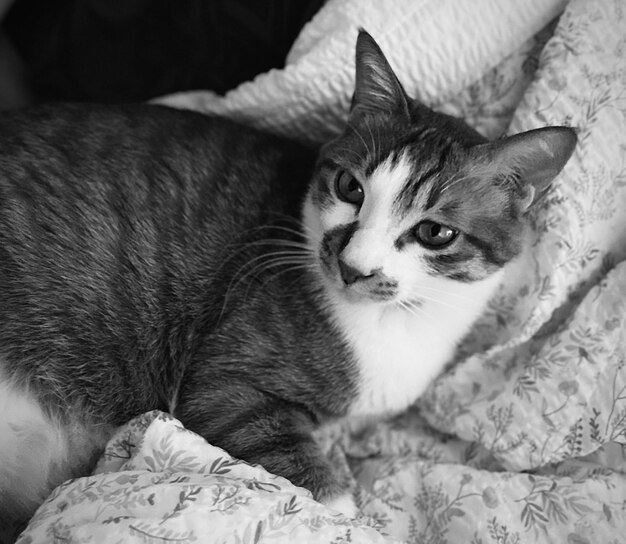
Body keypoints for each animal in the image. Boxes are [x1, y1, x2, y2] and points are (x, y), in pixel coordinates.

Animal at [1, 29, 576, 536]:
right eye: (349, 187)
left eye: (435, 232)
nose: (353, 266)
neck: (395, 324)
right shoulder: (226, 378)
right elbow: (299, 472)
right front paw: (344, 513)